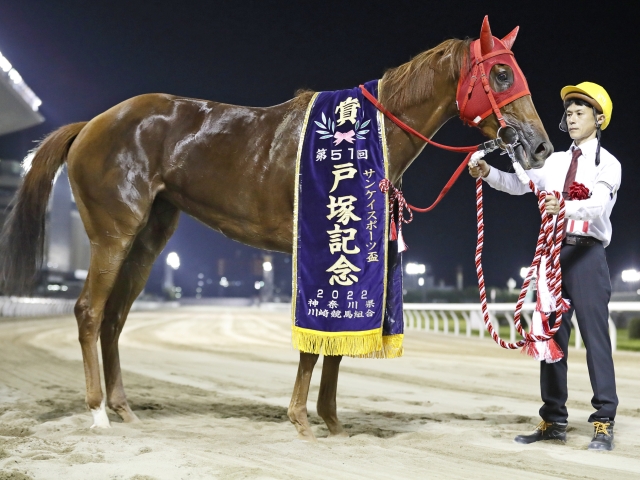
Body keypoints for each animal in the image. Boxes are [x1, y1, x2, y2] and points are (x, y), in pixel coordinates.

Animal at [0, 16, 552, 440]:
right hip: (113, 233)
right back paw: (97, 412)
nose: (541, 145)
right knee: (90, 312)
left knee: (114, 317)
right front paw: (302, 420)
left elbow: (337, 342)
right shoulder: (317, 245)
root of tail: (90, 125)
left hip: (149, 238)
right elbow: (315, 340)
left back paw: (123, 408)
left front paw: (332, 422)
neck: (366, 138)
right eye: (501, 73)